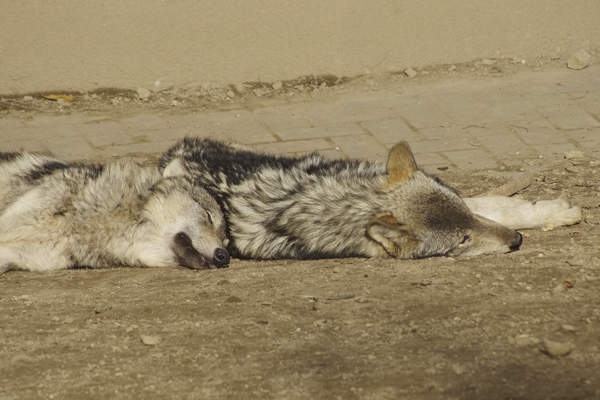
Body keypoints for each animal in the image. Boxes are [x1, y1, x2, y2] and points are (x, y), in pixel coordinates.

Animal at [159, 138, 576, 260]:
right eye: (462, 241)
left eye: (467, 224)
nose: (516, 241)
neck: (353, 200)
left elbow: (495, 205)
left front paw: (552, 211)